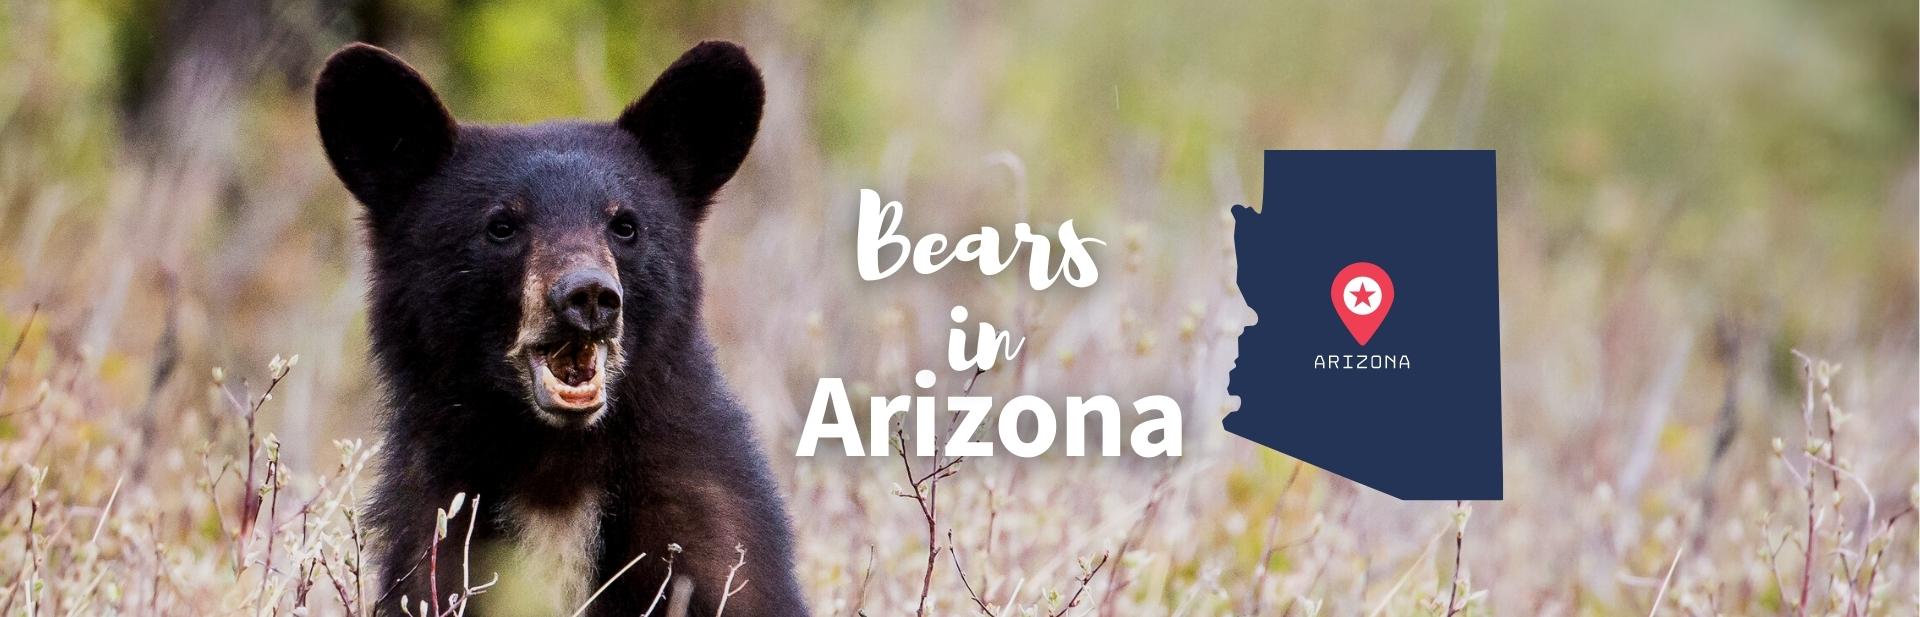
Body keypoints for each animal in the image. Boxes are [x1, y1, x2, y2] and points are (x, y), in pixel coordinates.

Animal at [314, 40, 807, 616]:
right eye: (502, 225)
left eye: (625, 225)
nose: (588, 294)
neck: (558, 469)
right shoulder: (433, 540)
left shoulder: (709, 534)